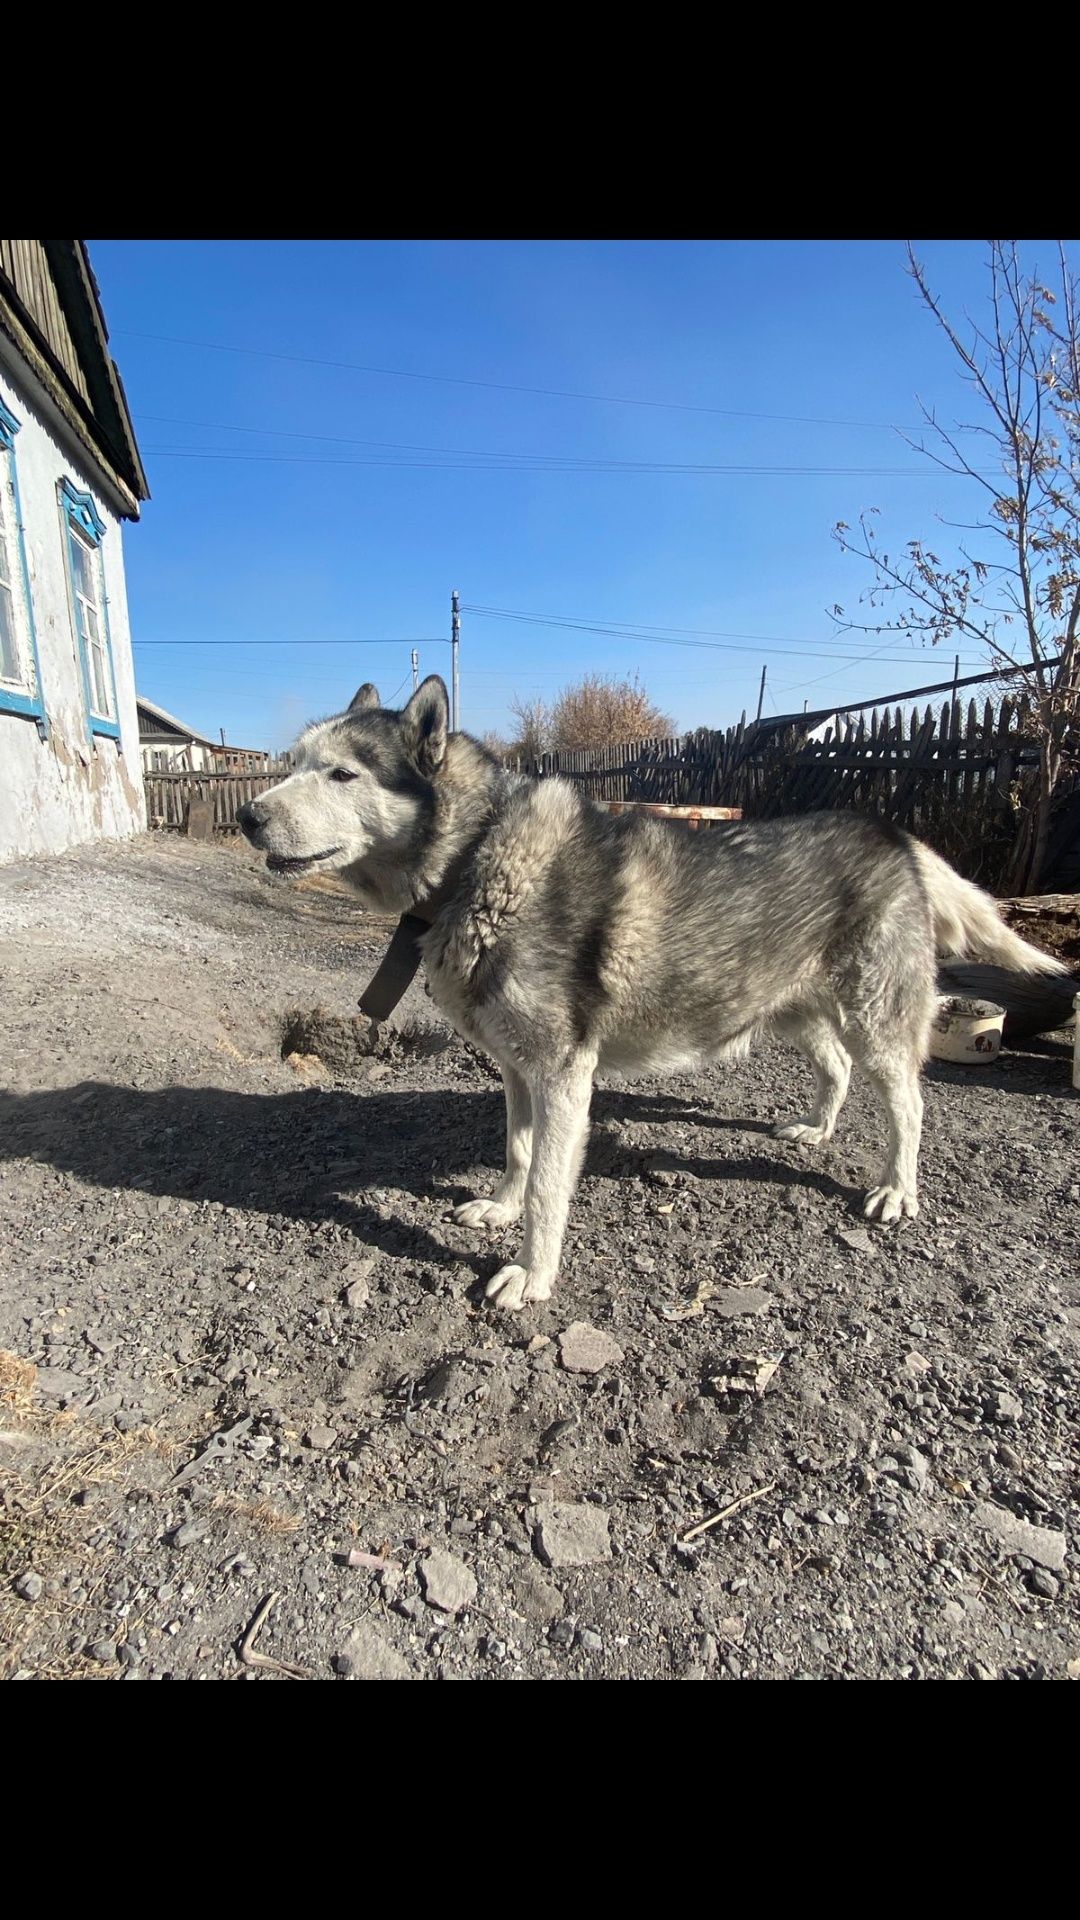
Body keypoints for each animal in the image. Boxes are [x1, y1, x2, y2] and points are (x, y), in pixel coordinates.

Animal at [237, 683, 1060, 1313]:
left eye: (342, 774)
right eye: (294, 764)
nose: (247, 815)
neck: (477, 857)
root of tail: (896, 838)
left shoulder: (562, 1076)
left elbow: (549, 1188)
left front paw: (532, 1273)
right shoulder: (517, 1070)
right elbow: (518, 1151)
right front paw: (501, 1206)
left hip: (876, 1022)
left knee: (908, 1106)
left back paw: (895, 1190)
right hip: (792, 1010)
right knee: (836, 1067)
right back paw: (817, 1129)